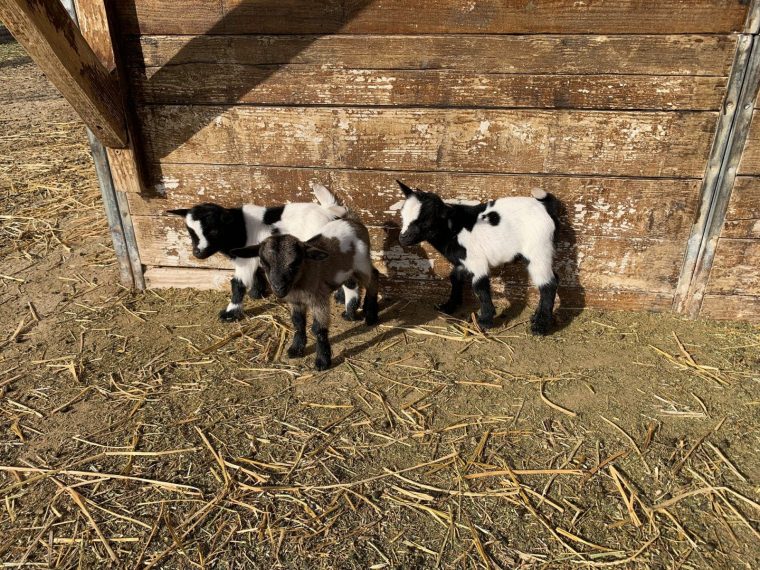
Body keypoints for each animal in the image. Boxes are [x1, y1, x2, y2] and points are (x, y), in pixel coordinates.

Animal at [168, 185, 356, 322]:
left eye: (213, 231)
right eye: (190, 232)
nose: (197, 253)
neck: (237, 228)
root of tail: (330, 213)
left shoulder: (243, 261)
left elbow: (237, 284)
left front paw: (230, 313)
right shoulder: (252, 254)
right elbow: (257, 272)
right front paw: (257, 293)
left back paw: (347, 306)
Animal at [229, 216, 378, 368]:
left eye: (295, 263)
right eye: (264, 263)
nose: (278, 287)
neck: (301, 279)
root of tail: (354, 222)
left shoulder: (319, 299)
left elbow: (319, 329)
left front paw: (322, 361)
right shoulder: (295, 302)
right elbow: (298, 323)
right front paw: (296, 349)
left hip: (362, 264)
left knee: (373, 279)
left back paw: (371, 316)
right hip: (349, 268)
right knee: (353, 282)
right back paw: (353, 313)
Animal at [394, 181, 556, 332]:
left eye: (426, 220)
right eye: (402, 215)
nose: (402, 238)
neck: (453, 229)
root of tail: (544, 206)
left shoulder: (477, 262)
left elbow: (480, 288)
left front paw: (484, 322)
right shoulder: (463, 262)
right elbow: (455, 278)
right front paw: (448, 306)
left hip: (538, 249)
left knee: (548, 284)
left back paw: (541, 325)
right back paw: (537, 317)